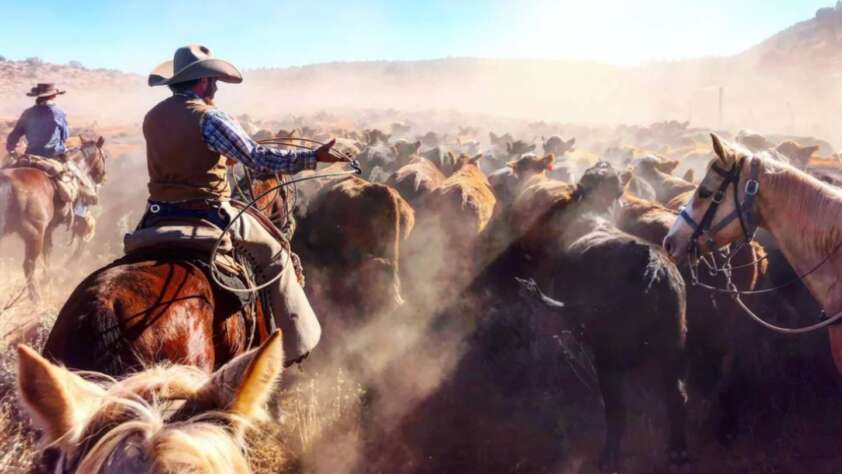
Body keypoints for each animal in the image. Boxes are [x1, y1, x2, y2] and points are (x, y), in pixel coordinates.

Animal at [0, 136, 108, 300]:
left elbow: (48, 251)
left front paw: (48, 275)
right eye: (103, 156)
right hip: (34, 235)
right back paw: (35, 298)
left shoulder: (49, 229)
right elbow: (86, 233)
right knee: (29, 265)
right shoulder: (76, 218)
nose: (102, 176)